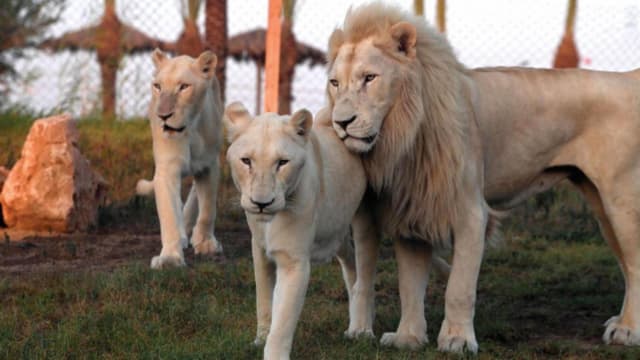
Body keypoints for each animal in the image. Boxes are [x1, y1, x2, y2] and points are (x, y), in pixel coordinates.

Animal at [137, 49, 222, 268]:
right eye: (158, 86)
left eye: (184, 87)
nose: (163, 116)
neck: (189, 130)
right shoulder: (167, 169)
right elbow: (169, 214)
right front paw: (170, 258)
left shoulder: (209, 165)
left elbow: (208, 208)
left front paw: (205, 243)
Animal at [224, 102, 378, 358]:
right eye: (246, 161)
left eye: (282, 162)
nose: (261, 203)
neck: (269, 222)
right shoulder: (259, 250)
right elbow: (264, 299)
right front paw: (260, 339)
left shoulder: (294, 262)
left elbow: (284, 318)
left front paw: (273, 352)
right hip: (336, 232)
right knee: (350, 264)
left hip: (365, 220)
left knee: (364, 269)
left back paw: (361, 329)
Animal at [328, 0, 640, 354]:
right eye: (335, 83)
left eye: (369, 78)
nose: (341, 123)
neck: (406, 132)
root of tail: (630, 78)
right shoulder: (415, 210)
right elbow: (409, 285)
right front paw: (408, 338)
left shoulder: (470, 213)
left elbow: (459, 287)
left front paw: (457, 340)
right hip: (601, 204)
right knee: (627, 263)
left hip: (622, 198)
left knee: (635, 262)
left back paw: (628, 330)